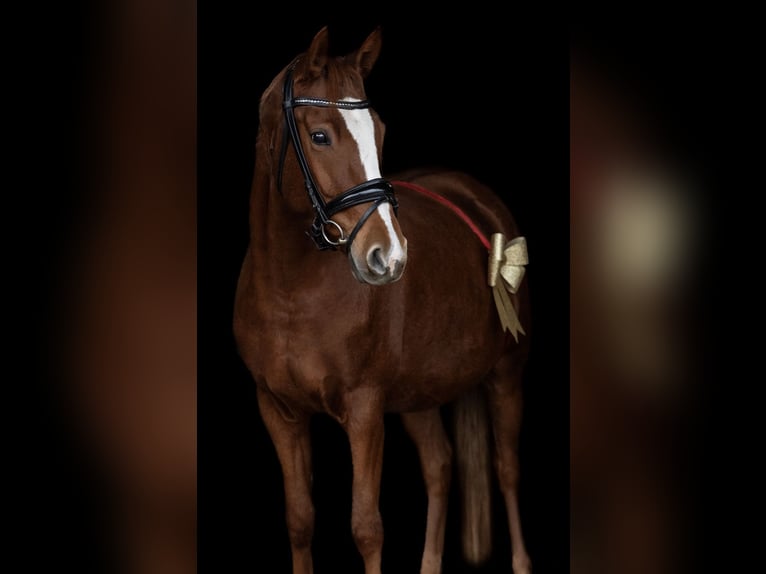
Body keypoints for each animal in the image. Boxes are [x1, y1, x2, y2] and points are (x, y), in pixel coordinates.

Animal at [234, 26, 532, 574]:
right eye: (320, 136)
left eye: (380, 130)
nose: (388, 256)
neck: (291, 295)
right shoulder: (279, 411)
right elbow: (300, 520)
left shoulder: (365, 409)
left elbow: (367, 527)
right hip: (419, 395)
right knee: (439, 466)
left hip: (506, 374)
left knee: (506, 470)